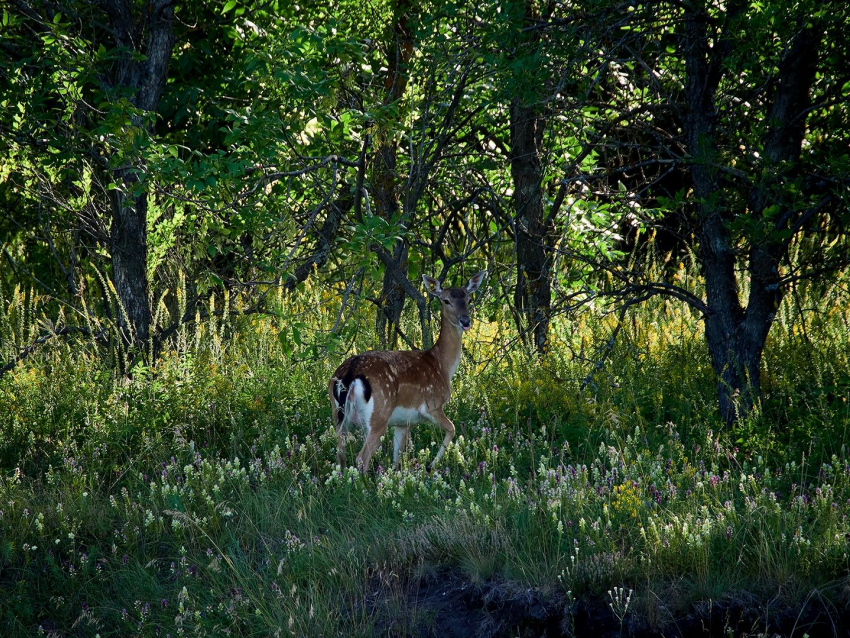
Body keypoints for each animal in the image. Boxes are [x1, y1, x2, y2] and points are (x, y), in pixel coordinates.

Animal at [330, 270, 486, 470]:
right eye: (445, 300)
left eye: (468, 298)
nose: (465, 321)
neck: (442, 365)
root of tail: (350, 374)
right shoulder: (432, 406)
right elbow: (452, 429)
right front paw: (431, 466)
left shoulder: (403, 422)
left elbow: (397, 457)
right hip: (379, 414)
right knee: (361, 457)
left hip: (338, 414)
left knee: (340, 453)